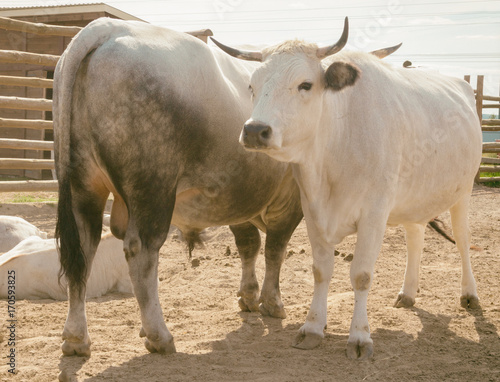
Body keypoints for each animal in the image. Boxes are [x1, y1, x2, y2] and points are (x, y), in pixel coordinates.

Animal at [213, 17, 482, 358]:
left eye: (305, 84)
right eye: (252, 86)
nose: (254, 130)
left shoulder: (374, 214)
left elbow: (362, 275)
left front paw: (359, 337)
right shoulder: (313, 211)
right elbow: (321, 271)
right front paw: (313, 327)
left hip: (463, 193)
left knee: (462, 240)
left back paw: (469, 294)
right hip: (414, 197)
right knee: (415, 237)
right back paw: (408, 293)